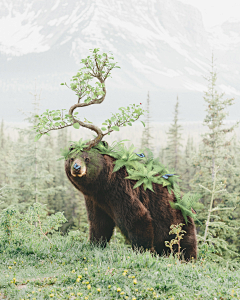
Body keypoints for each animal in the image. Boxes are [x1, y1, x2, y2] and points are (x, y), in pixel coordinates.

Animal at [65, 146, 197, 258]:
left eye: (87, 159)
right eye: (71, 158)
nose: (76, 168)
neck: (103, 186)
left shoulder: (121, 190)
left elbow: (137, 218)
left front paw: (142, 251)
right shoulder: (96, 200)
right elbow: (99, 222)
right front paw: (95, 244)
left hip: (174, 219)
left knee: (182, 241)